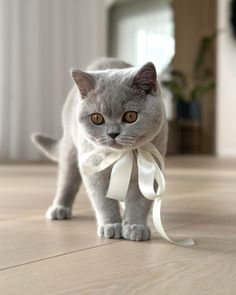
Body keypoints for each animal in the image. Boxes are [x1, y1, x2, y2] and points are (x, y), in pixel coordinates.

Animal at [31, 57, 168, 243]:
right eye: (97, 118)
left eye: (130, 116)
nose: (113, 133)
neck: (121, 157)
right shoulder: (94, 171)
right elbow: (103, 201)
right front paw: (111, 225)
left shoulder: (150, 168)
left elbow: (139, 201)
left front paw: (134, 226)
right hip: (71, 150)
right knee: (67, 181)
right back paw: (60, 208)